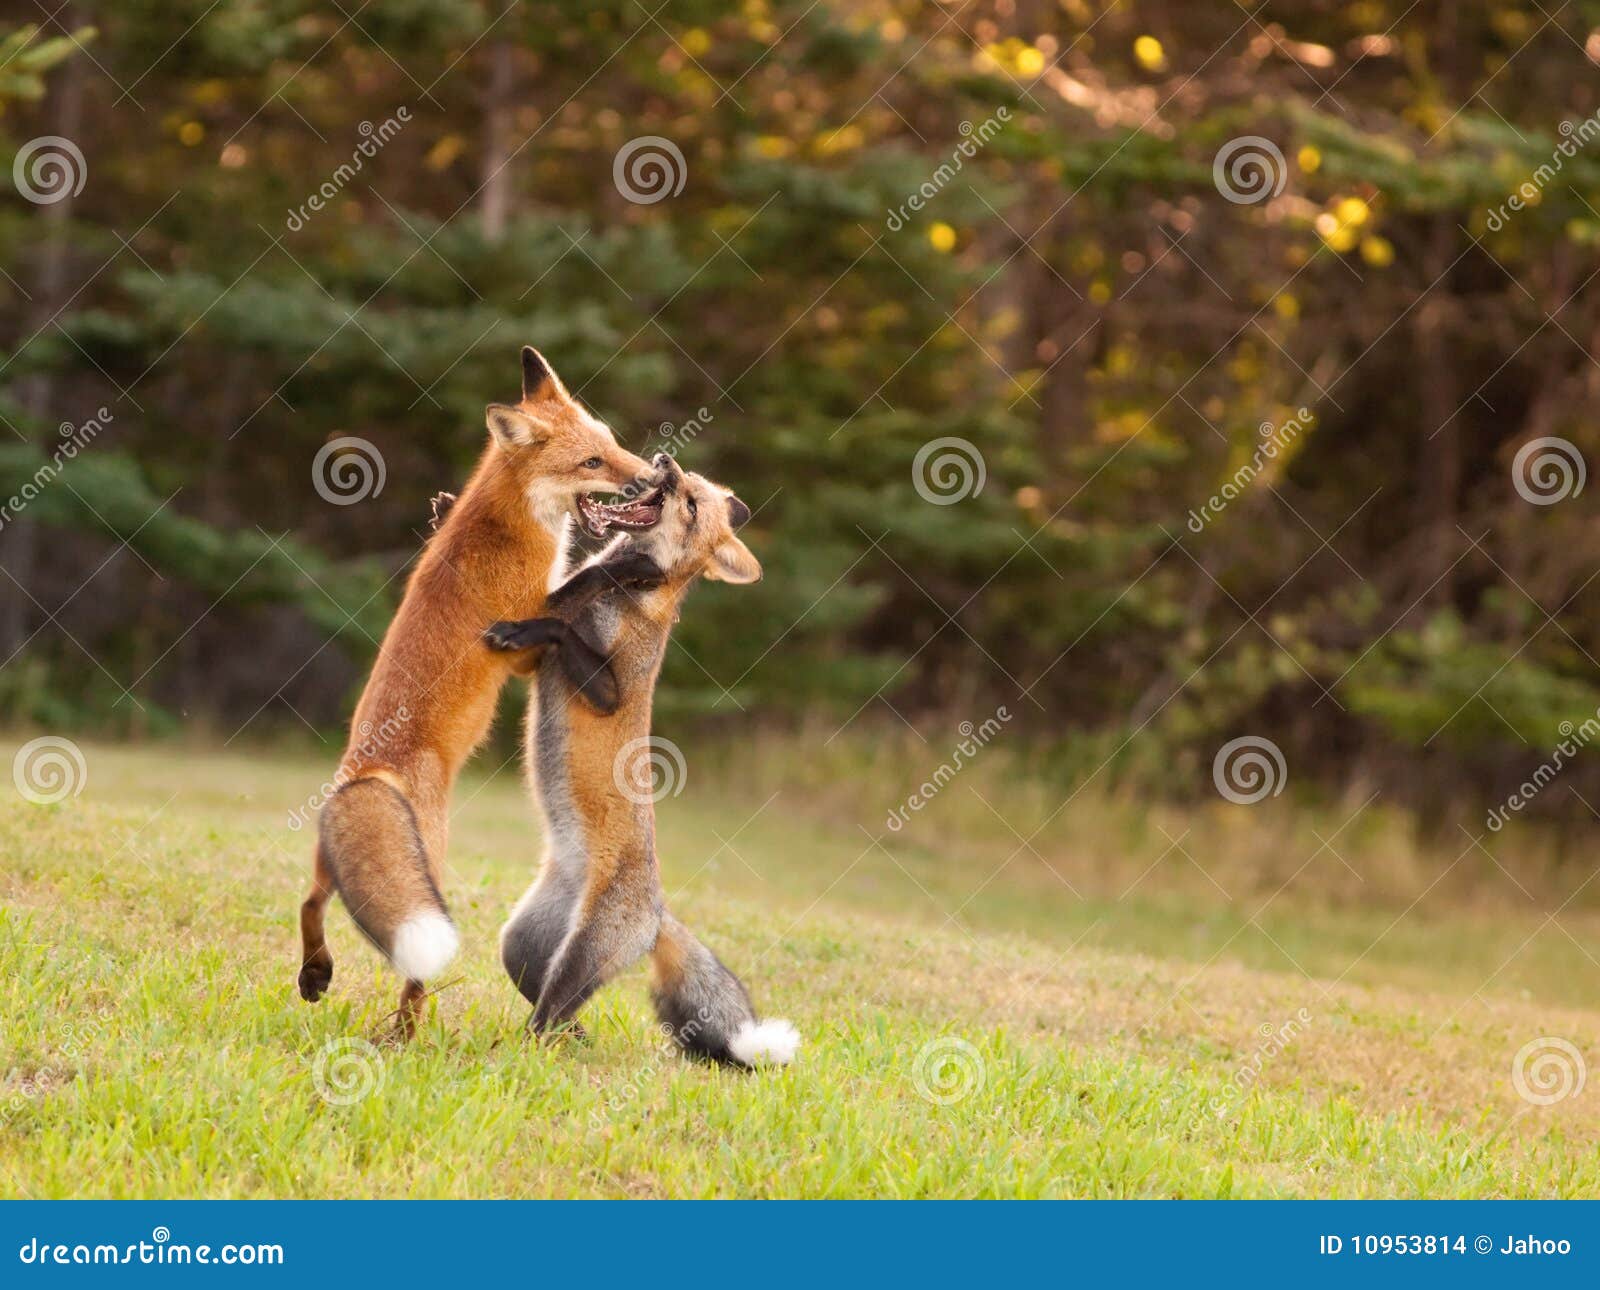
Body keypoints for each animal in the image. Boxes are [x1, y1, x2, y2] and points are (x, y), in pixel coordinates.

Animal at [299, 346, 668, 1035]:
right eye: (592, 463)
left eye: (612, 442)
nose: (655, 479)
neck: (510, 520)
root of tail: (370, 769)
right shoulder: (521, 650)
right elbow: (576, 587)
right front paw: (626, 565)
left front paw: (440, 507)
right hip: (430, 868)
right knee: (410, 966)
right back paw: (406, 1028)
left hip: (338, 861)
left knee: (310, 902)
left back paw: (316, 976)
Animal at [483, 453, 800, 1067]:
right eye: (692, 485)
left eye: (692, 504)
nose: (667, 462)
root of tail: (656, 914)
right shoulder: (540, 661)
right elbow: (561, 602)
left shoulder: (613, 689)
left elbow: (559, 623)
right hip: (522, 948)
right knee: (557, 1015)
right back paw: (566, 1040)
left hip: (577, 957)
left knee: (548, 1018)